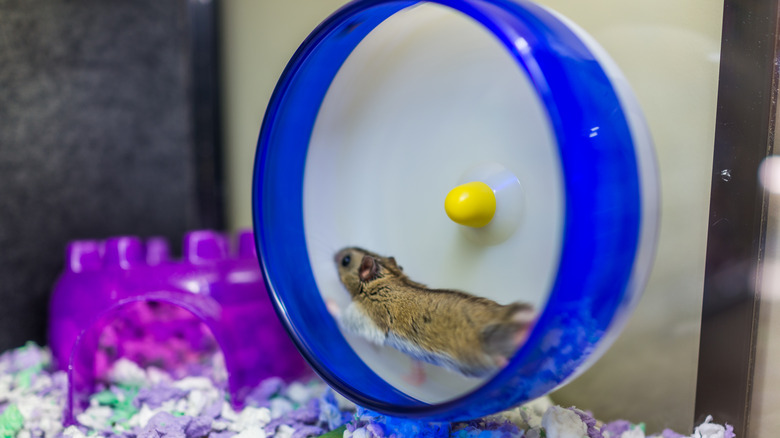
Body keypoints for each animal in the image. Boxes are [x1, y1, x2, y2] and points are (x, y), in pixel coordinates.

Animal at [330, 248, 536, 378]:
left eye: (346, 260)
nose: (335, 253)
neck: (387, 277)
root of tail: (507, 315)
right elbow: (416, 364)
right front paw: (413, 378)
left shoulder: (367, 316)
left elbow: (344, 318)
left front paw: (330, 303)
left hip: (483, 344)